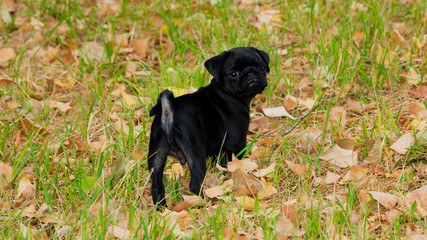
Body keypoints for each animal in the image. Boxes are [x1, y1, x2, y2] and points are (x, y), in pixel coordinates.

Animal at [149, 46, 270, 206]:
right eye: (234, 74)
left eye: (262, 68)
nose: (251, 73)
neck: (226, 94)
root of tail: (168, 112)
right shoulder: (238, 142)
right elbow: (238, 160)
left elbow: (221, 161)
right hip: (195, 152)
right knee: (195, 183)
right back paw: (201, 204)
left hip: (157, 153)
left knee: (156, 183)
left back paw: (161, 208)